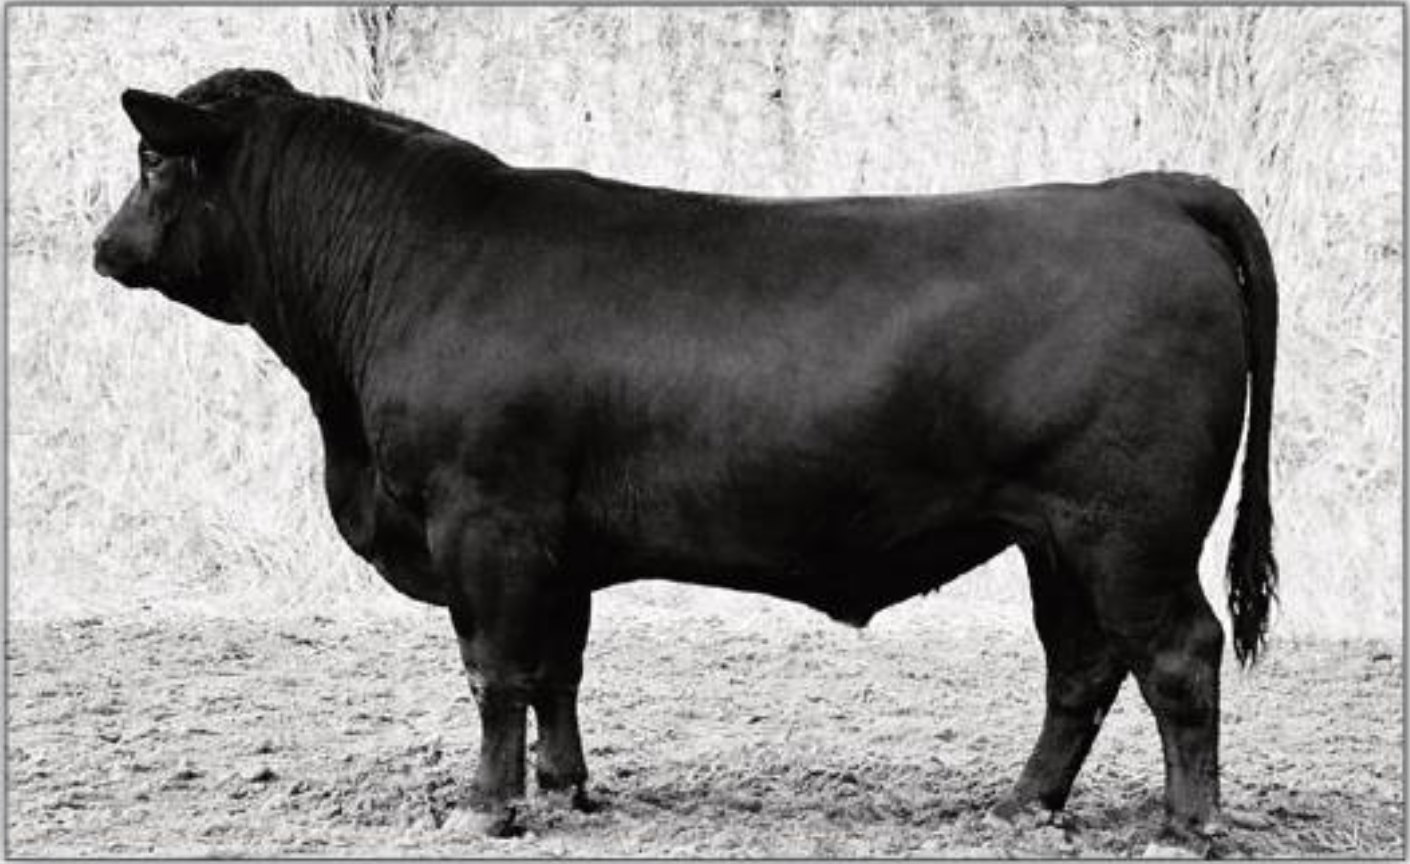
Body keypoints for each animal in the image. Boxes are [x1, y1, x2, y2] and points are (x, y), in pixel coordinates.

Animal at [93, 68, 1278, 849]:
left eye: (153, 160)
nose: (105, 247)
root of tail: (1142, 190)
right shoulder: (556, 546)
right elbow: (556, 670)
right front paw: (567, 792)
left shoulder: (484, 519)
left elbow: (494, 669)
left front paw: (485, 808)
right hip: (1054, 538)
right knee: (1082, 665)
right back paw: (1018, 807)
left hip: (1129, 531)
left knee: (1178, 655)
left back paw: (1185, 827)